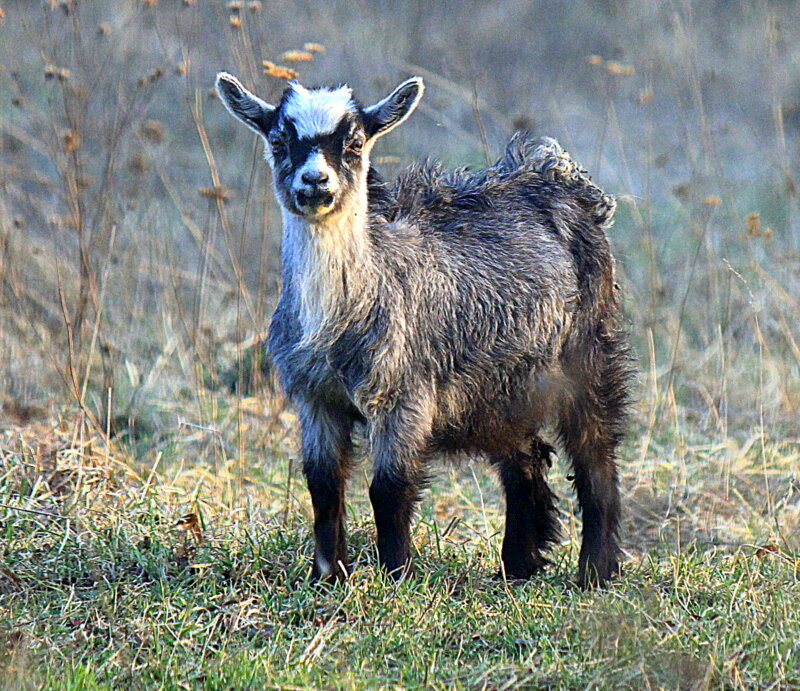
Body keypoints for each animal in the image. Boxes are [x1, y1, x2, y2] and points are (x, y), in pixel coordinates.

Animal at [216, 73, 636, 588]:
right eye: (279, 141)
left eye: (354, 143)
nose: (315, 181)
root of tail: (558, 174)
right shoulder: (315, 397)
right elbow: (323, 484)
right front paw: (327, 576)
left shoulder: (404, 395)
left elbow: (388, 488)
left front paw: (396, 574)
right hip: (505, 386)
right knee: (524, 459)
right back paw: (517, 566)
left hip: (589, 350)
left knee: (596, 450)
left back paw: (596, 570)